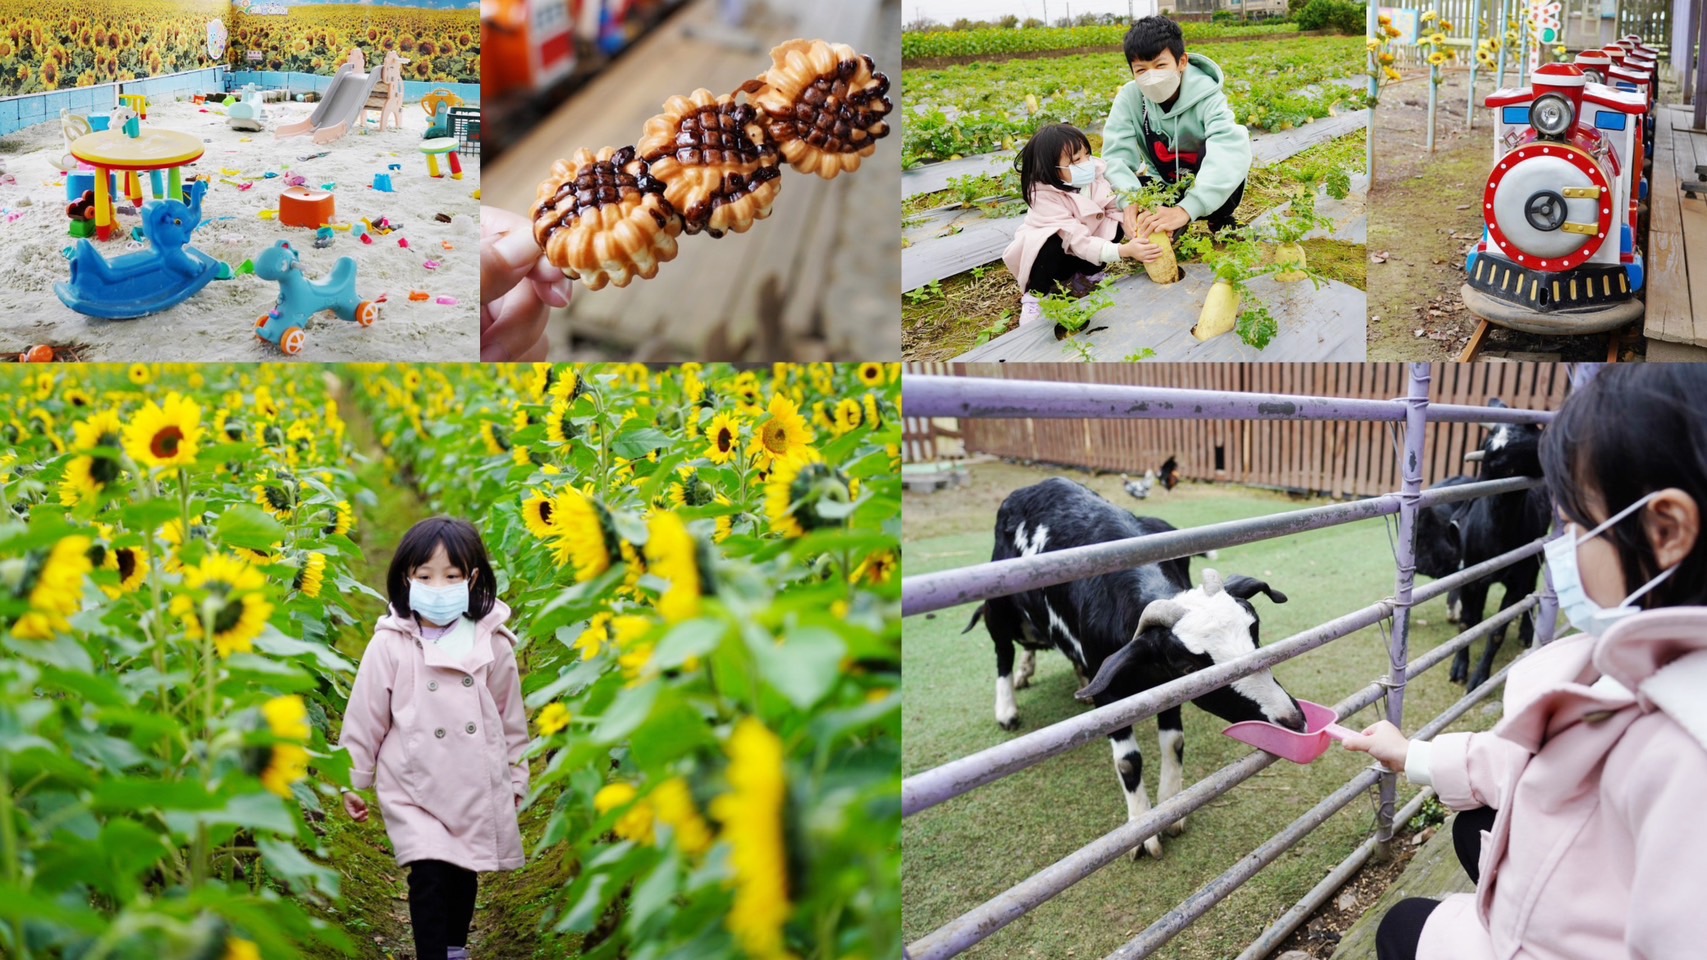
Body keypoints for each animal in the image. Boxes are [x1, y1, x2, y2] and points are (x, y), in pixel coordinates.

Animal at [962, 474, 1304, 854]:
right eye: (1189, 667)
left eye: (1254, 630)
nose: (1294, 720)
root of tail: (1036, 486)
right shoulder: (1112, 698)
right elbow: (1128, 761)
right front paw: (1143, 830)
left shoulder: (1165, 688)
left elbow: (1174, 742)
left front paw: (1170, 808)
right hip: (1000, 608)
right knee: (1003, 650)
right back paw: (1008, 704)